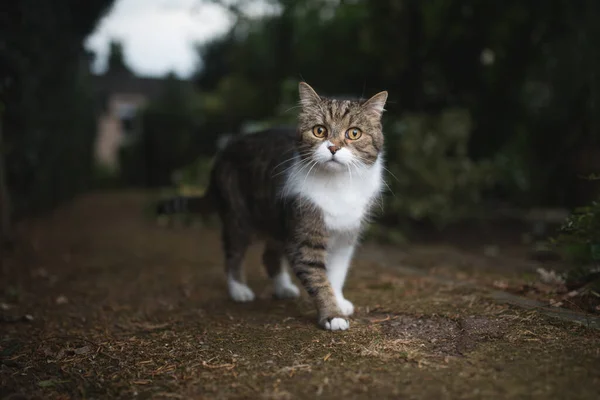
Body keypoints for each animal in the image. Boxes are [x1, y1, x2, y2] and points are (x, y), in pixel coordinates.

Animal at [156, 82, 390, 332]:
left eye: (354, 133)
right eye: (319, 130)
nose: (333, 148)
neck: (338, 185)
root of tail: (225, 150)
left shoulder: (346, 235)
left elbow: (336, 273)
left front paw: (338, 301)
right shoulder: (305, 233)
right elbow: (318, 276)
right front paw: (332, 315)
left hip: (277, 219)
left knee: (269, 255)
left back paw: (282, 288)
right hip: (238, 216)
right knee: (233, 253)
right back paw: (238, 290)